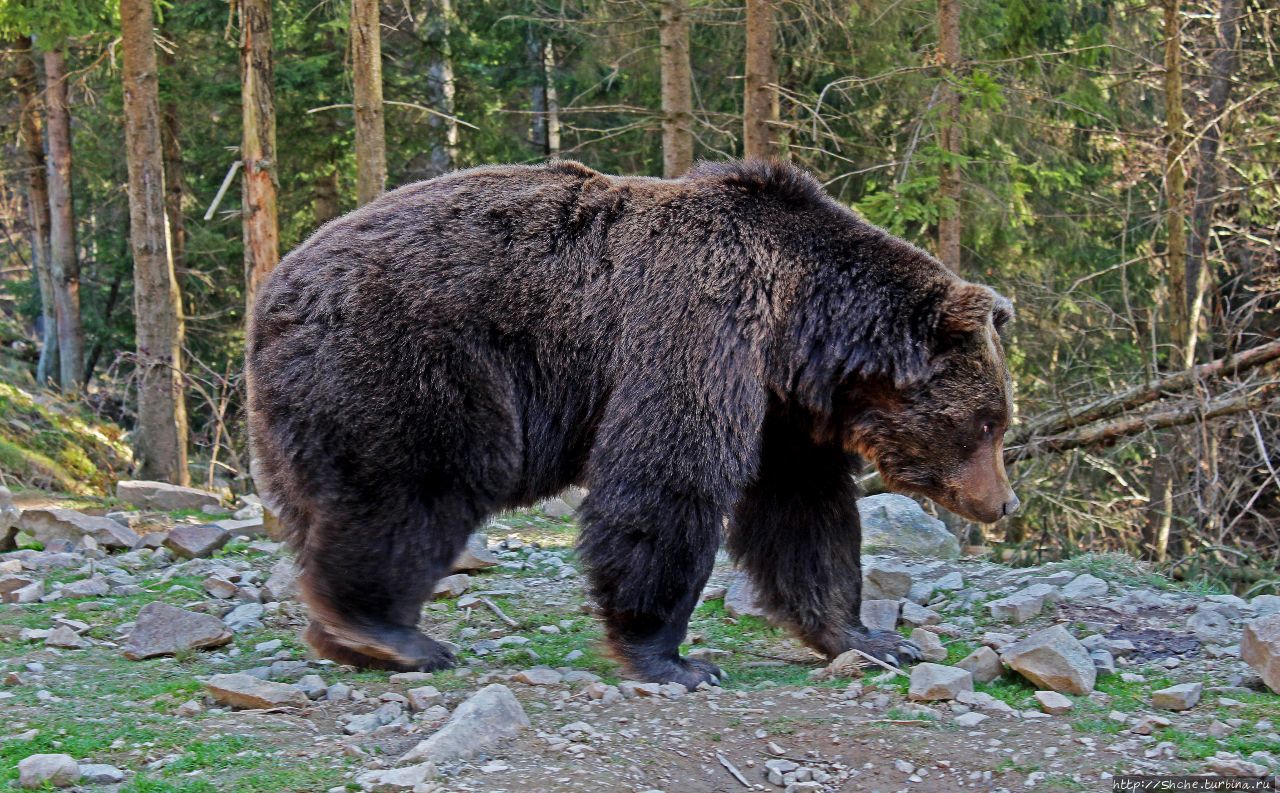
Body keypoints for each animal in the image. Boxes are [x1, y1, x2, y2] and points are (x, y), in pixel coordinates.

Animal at [244, 156, 1013, 685]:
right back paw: (387, 632)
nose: (1003, 502)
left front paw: (871, 637)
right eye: (989, 423)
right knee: (421, 479)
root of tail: (273, 290)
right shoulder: (701, 327)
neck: (800, 328)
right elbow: (668, 477)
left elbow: (805, 514)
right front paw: (674, 657)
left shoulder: (781, 413)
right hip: (408, 358)